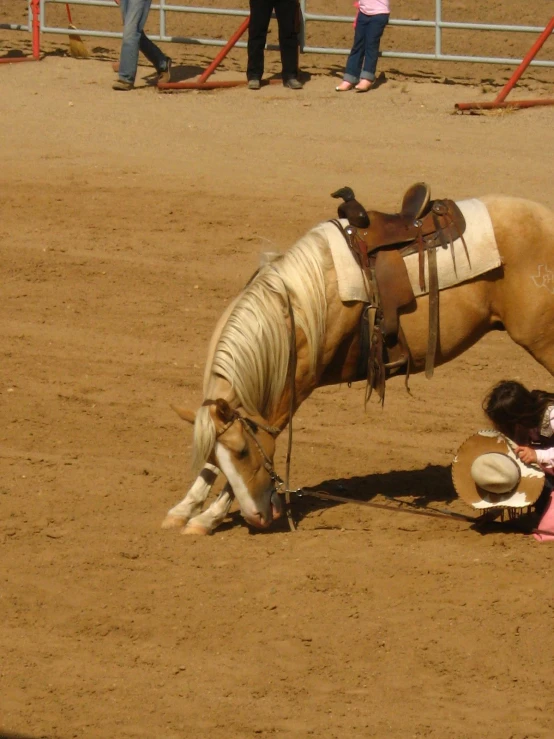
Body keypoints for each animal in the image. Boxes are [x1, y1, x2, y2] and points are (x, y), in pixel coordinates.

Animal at [162, 194, 552, 536]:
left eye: (243, 452)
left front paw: (206, 517)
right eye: (217, 455)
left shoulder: (293, 386)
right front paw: (184, 509)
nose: (257, 518)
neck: (303, 303)